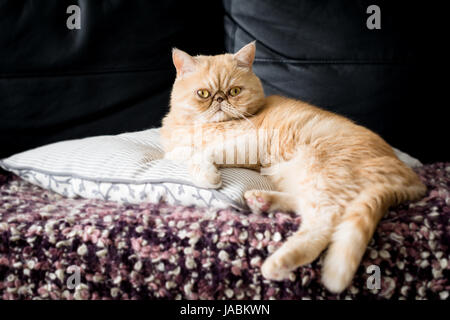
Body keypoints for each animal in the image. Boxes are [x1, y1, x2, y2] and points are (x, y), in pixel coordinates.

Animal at [161, 42, 426, 292]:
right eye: (203, 93)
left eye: (234, 91)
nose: (219, 98)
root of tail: (413, 179)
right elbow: (180, 152)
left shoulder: (251, 142)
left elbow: (204, 154)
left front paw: (207, 175)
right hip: (303, 178)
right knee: (304, 205)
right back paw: (262, 201)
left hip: (323, 173)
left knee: (324, 223)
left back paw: (278, 263)